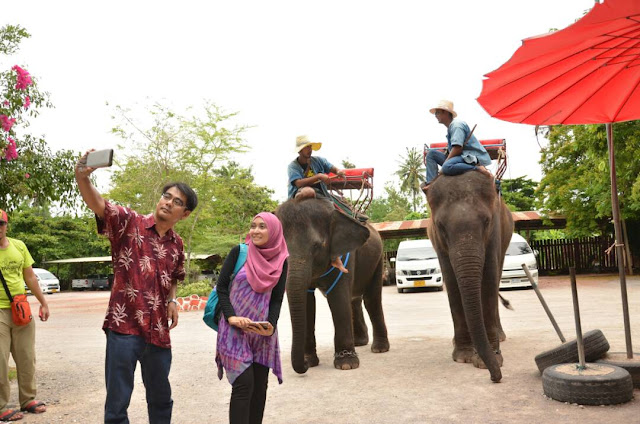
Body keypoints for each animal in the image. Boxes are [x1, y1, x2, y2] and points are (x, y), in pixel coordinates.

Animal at [278, 197, 392, 372]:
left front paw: (347, 364)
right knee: (354, 299)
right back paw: (359, 342)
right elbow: (307, 302)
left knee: (371, 299)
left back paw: (379, 349)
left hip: (378, 259)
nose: (303, 365)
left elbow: (338, 297)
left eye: (317, 246)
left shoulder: (346, 256)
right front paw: (310, 361)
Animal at [424, 171, 516, 382]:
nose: (495, 377)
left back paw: (500, 337)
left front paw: (488, 361)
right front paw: (464, 357)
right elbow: (451, 281)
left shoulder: (494, 233)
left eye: (487, 221)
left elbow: (489, 279)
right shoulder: (438, 242)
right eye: (441, 226)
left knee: (497, 277)